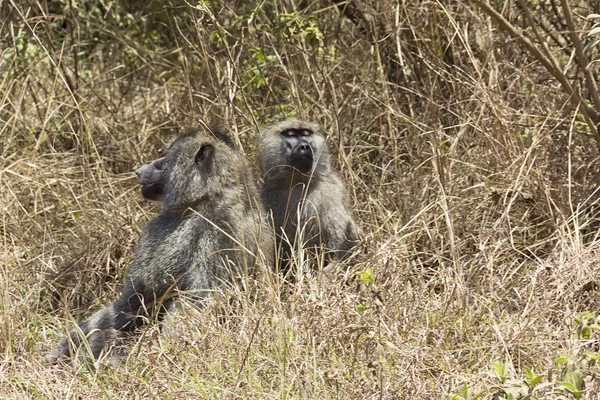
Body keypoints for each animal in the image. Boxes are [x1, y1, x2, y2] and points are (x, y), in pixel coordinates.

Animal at [48, 129, 270, 366]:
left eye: (165, 159)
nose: (139, 171)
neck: (212, 193)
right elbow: (130, 305)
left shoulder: (212, 232)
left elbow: (194, 300)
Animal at [256, 119, 364, 268]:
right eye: (290, 134)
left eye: (306, 134)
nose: (305, 146)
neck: (298, 181)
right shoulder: (266, 197)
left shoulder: (331, 192)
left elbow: (347, 241)